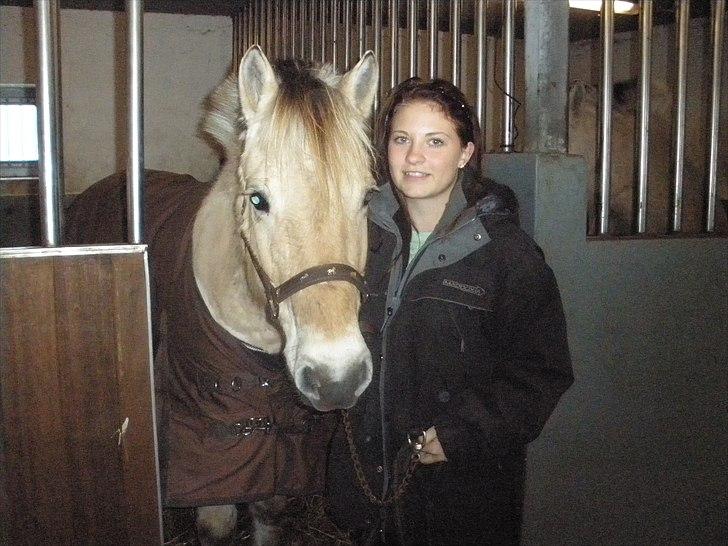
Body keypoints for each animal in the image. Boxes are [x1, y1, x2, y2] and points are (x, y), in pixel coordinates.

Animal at [64, 45, 378, 540]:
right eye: (258, 200)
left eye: (366, 197)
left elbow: (268, 510)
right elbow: (218, 523)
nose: (337, 378)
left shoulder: (282, 444)